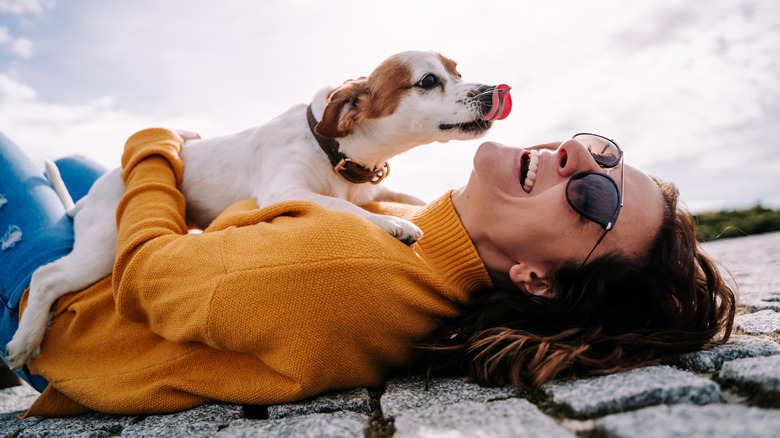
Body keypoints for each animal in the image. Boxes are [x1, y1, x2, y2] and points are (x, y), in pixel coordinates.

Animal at [4, 49, 512, 368]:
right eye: (428, 81)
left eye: (458, 71)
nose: (494, 90)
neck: (336, 151)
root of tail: (90, 196)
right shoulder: (285, 190)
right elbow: (341, 206)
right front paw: (391, 224)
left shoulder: (368, 188)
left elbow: (408, 200)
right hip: (102, 249)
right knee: (44, 277)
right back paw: (24, 342)